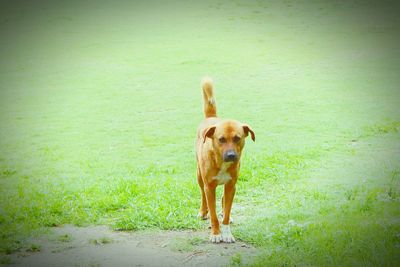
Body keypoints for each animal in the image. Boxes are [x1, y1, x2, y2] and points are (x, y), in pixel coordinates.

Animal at [195, 78, 255, 244]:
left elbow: (226, 214)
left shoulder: (231, 185)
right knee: (202, 194)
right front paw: (216, 233)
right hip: (199, 176)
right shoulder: (209, 187)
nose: (231, 155)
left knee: (223, 200)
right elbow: (213, 215)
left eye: (237, 138)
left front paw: (227, 232)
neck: (220, 162)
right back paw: (203, 212)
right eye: (221, 139)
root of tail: (211, 117)